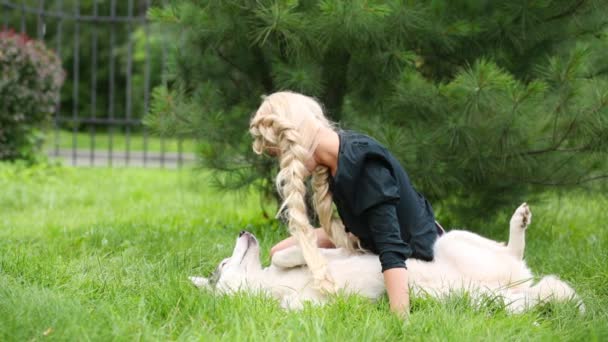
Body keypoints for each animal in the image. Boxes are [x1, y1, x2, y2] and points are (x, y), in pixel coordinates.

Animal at [190, 204, 580, 314]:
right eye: (221, 267)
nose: (244, 232)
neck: (266, 285)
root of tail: (520, 283)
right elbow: (296, 304)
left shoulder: (339, 249)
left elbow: (290, 254)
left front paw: (296, 257)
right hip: (493, 300)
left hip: (449, 240)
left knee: (511, 248)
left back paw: (519, 221)